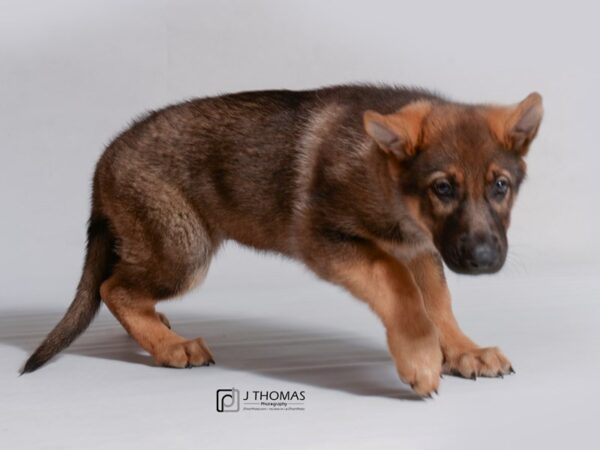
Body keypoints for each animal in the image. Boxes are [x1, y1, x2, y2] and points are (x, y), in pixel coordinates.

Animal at [22, 85, 544, 398]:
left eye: (500, 187)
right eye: (443, 188)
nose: (483, 259)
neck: (384, 177)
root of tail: (104, 159)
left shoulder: (420, 247)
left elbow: (436, 299)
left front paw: (462, 349)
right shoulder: (326, 240)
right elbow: (399, 286)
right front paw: (421, 358)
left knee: (123, 286)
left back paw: (159, 332)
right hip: (184, 250)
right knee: (113, 288)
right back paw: (171, 347)